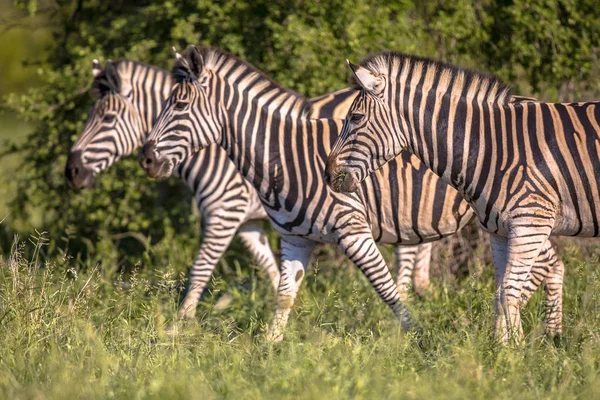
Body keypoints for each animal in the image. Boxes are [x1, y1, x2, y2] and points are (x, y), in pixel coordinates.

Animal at [64, 57, 432, 318]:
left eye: (107, 119)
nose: (71, 172)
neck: (213, 149)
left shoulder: (225, 210)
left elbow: (200, 269)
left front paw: (180, 327)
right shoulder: (249, 222)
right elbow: (271, 269)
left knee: (410, 246)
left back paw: (413, 294)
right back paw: (424, 289)